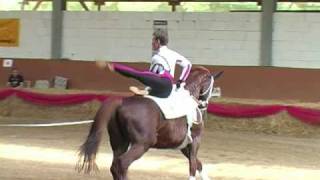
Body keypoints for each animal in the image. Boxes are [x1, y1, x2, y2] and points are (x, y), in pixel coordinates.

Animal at [77, 66, 222, 180]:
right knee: (122, 164)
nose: (204, 104)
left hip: (120, 142)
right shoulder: (195, 140)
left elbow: (198, 164)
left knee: (114, 166)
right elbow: (192, 166)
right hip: (142, 144)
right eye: (212, 86)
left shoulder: (184, 145)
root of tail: (122, 102)